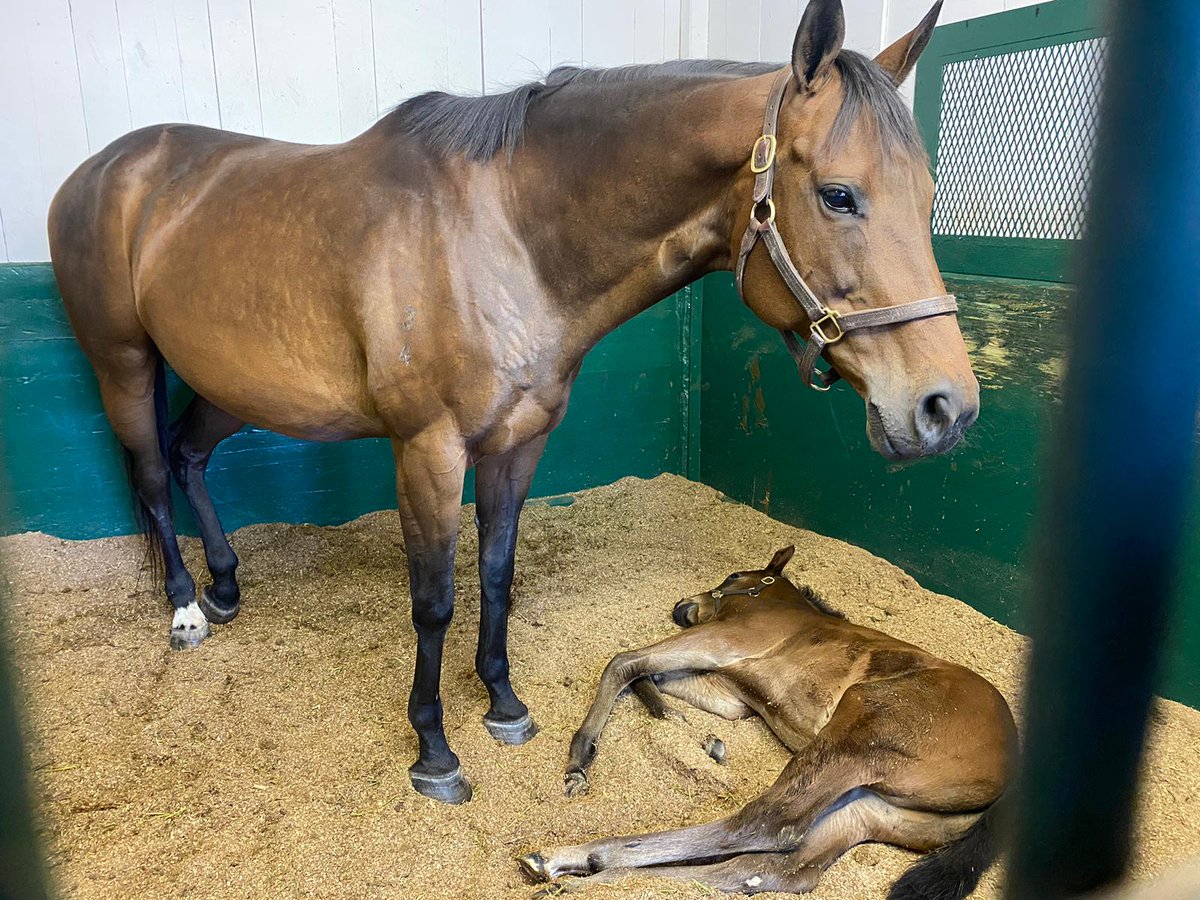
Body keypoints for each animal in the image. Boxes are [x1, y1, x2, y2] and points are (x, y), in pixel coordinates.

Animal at [51, 0, 979, 806]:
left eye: (930, 198)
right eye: (838, 195)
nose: (947, 409)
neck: (507, 238)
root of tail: (99, 173)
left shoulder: (519, 442)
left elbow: (497, 576)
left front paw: (502, 705)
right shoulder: (427, 450)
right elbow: (434, 602)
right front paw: (434, 751)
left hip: (229, 383)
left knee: (187, 455)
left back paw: (225, 586)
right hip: (124, 364)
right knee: (151, 473)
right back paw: (184, 609)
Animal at [520, 547, 1017, 897]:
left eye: (732, 578)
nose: (682, 606)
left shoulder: (723, 641)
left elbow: (623, 661)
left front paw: (580, 761)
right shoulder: (730, 695)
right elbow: (648, 675)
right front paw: (682, 725)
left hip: (862, 732)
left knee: (765, 825)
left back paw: (573, 858)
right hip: (868, 808)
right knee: (768, 868)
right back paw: (579, 881)